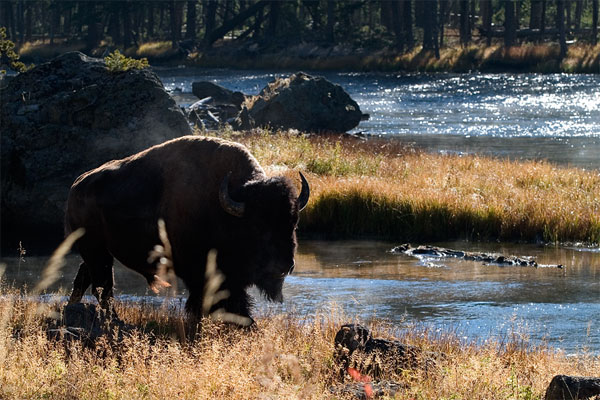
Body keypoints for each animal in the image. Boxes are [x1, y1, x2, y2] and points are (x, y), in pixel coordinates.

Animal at [65, 136, 310, 324]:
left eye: (294, 222)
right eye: (257, 225)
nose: (284, 266)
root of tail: (76, 186)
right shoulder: (203, 274)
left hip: (98, 253)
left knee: (87, 280)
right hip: (95, 251)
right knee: (102, 286)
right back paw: (112, 319)